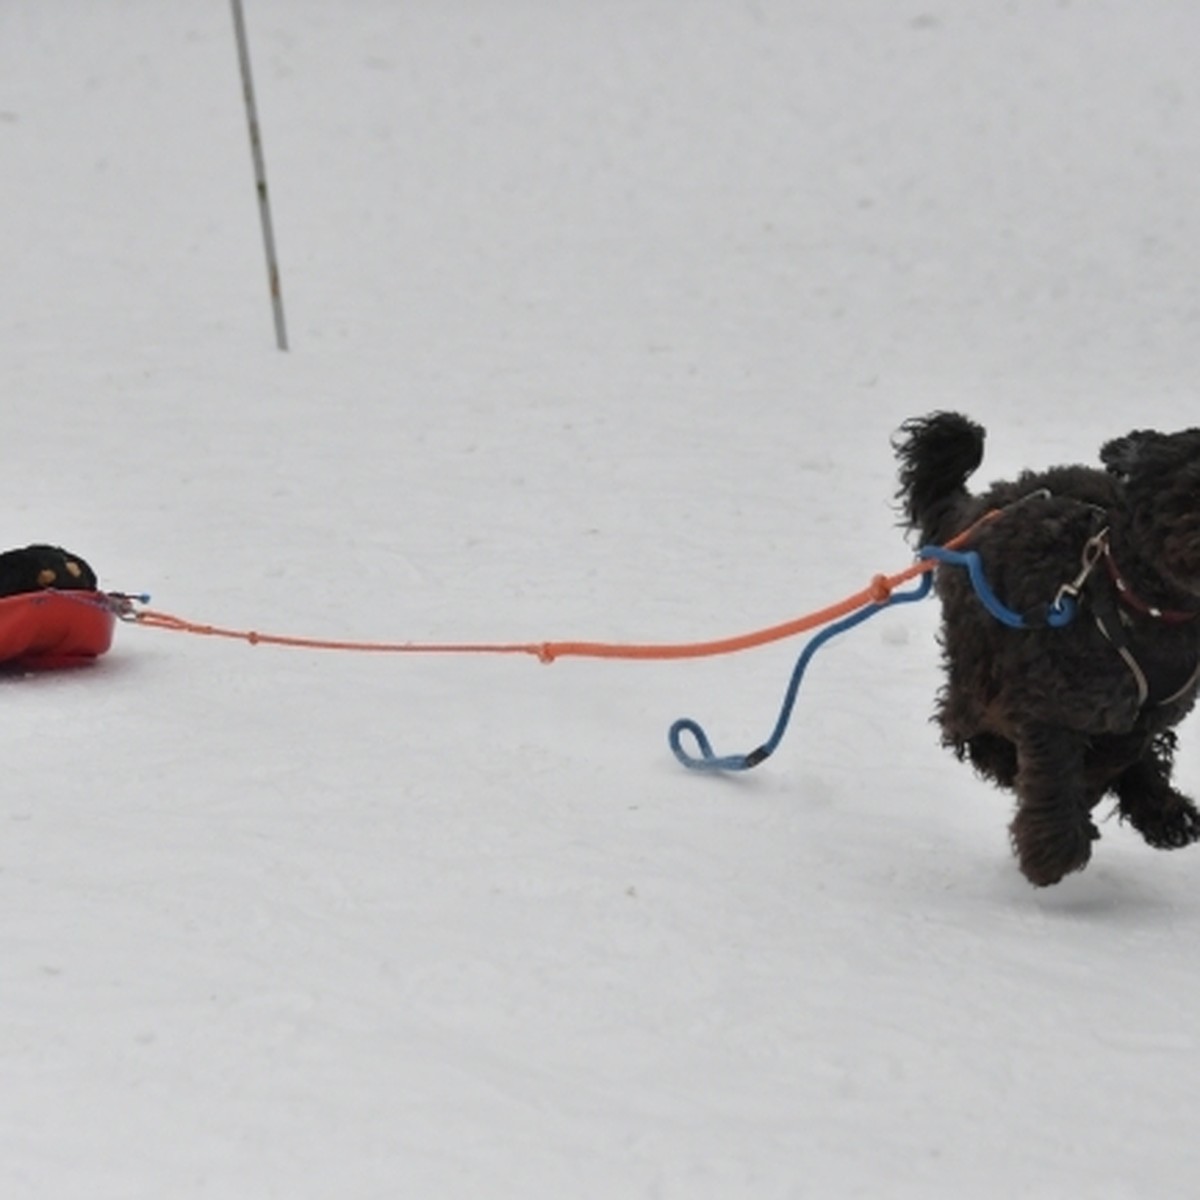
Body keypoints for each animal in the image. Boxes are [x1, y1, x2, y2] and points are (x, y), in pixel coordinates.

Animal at [892, 417, 1200, 888]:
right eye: (1189, 484)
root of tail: (981, 505)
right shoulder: (1051, 703)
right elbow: (1059, 771)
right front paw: (1054, 852)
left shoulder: (1153, 709)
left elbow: (1128, 751)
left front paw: (1150, 804)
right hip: (981, 661)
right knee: (962, 724)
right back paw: (1003, 762)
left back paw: (1163, 812)